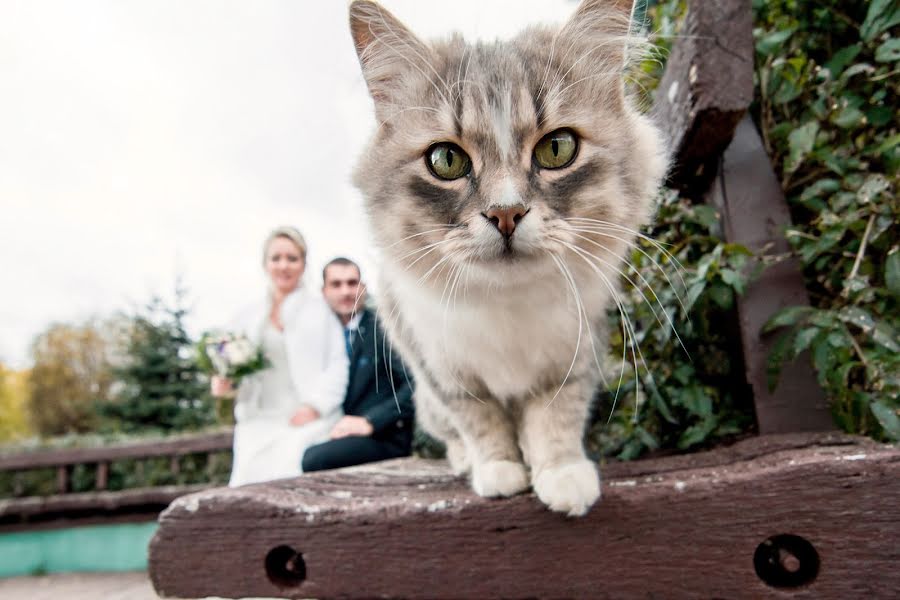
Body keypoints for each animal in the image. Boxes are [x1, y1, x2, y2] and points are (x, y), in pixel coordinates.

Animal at [348, 0, 664, 516]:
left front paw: (560, 475)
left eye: (557, 148)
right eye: (446, 161)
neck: (508, 301)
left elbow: (555, 417)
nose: (506, 213)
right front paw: (498, 471)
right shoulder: (442, 369)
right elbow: (480, 422)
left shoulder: (573, 357)